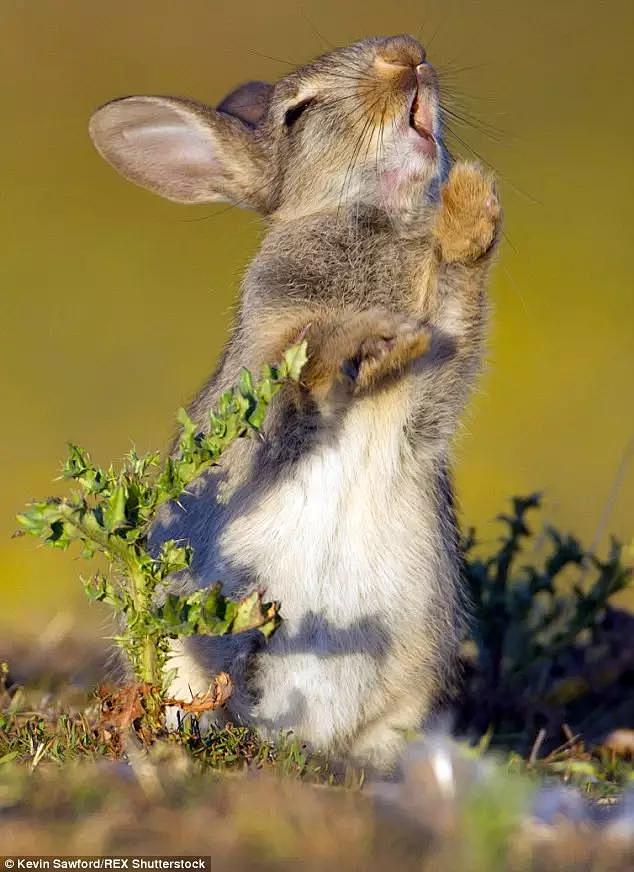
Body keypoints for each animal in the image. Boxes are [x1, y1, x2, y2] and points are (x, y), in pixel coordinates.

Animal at [87, 35, 498, 768]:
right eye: (297, 113)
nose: (405, 52)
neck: (367, 224)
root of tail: (302, 732)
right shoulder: (265, 398)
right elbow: (302, 377)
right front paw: (373, 337)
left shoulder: (433, 390)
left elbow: (455, 308)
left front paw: (472, 203)